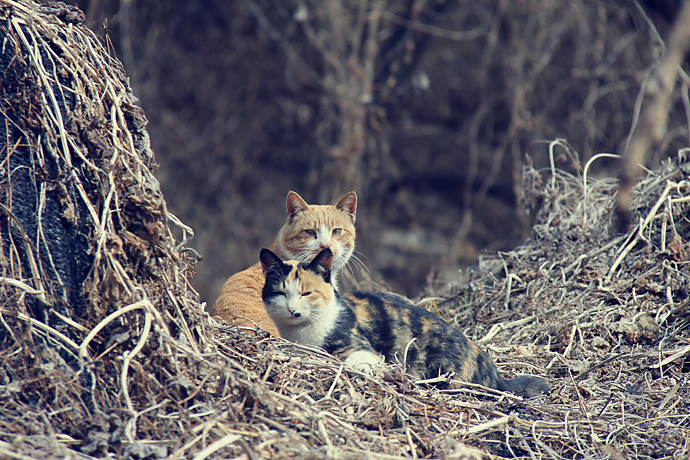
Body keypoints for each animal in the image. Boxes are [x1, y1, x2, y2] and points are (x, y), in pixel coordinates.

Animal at [258, 248, 548, 398]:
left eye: (307, 293)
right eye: (281, 293)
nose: (292, 310)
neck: (299, 333)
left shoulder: (362, 350)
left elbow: (353, 362)